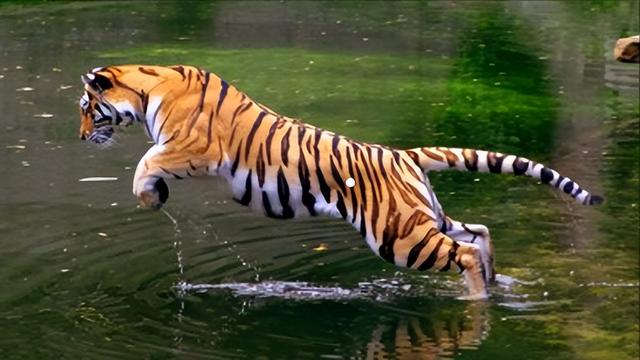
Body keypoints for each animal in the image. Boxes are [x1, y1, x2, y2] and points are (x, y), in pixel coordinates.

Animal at [77, 65, 604, 300]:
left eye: (86, 108)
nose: (81, 137)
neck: (149, 85)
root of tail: (404, 154)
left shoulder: (190, 146)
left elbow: (144, 163)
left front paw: (151, 196)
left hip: (398, 235)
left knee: (465, 251)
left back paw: (476, 297)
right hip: (422, 216)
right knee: (479, 233)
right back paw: (494, 285)